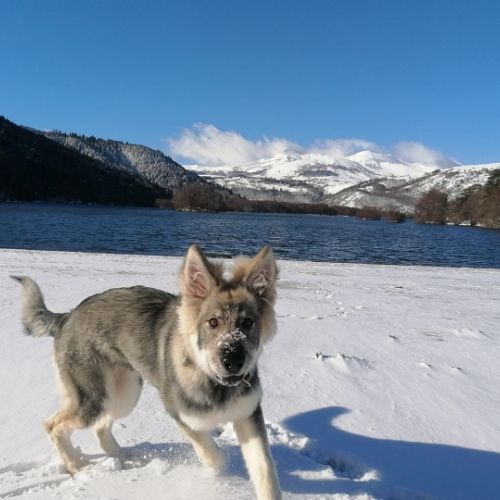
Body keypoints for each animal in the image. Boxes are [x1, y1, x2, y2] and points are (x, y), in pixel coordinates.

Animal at [13, 245, 281, 499]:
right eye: (213, 322)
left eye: (248, 323)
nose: (233, 361)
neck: (214, 382)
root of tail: (67, 316)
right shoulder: (181, 415)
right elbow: (214, 455)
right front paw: (213, 476)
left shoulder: (248, 416)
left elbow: (266, 472)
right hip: (93, 398)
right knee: (52, 425)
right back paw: (77, 467)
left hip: (123, 395)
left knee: (100, 427)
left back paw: (124, 458)